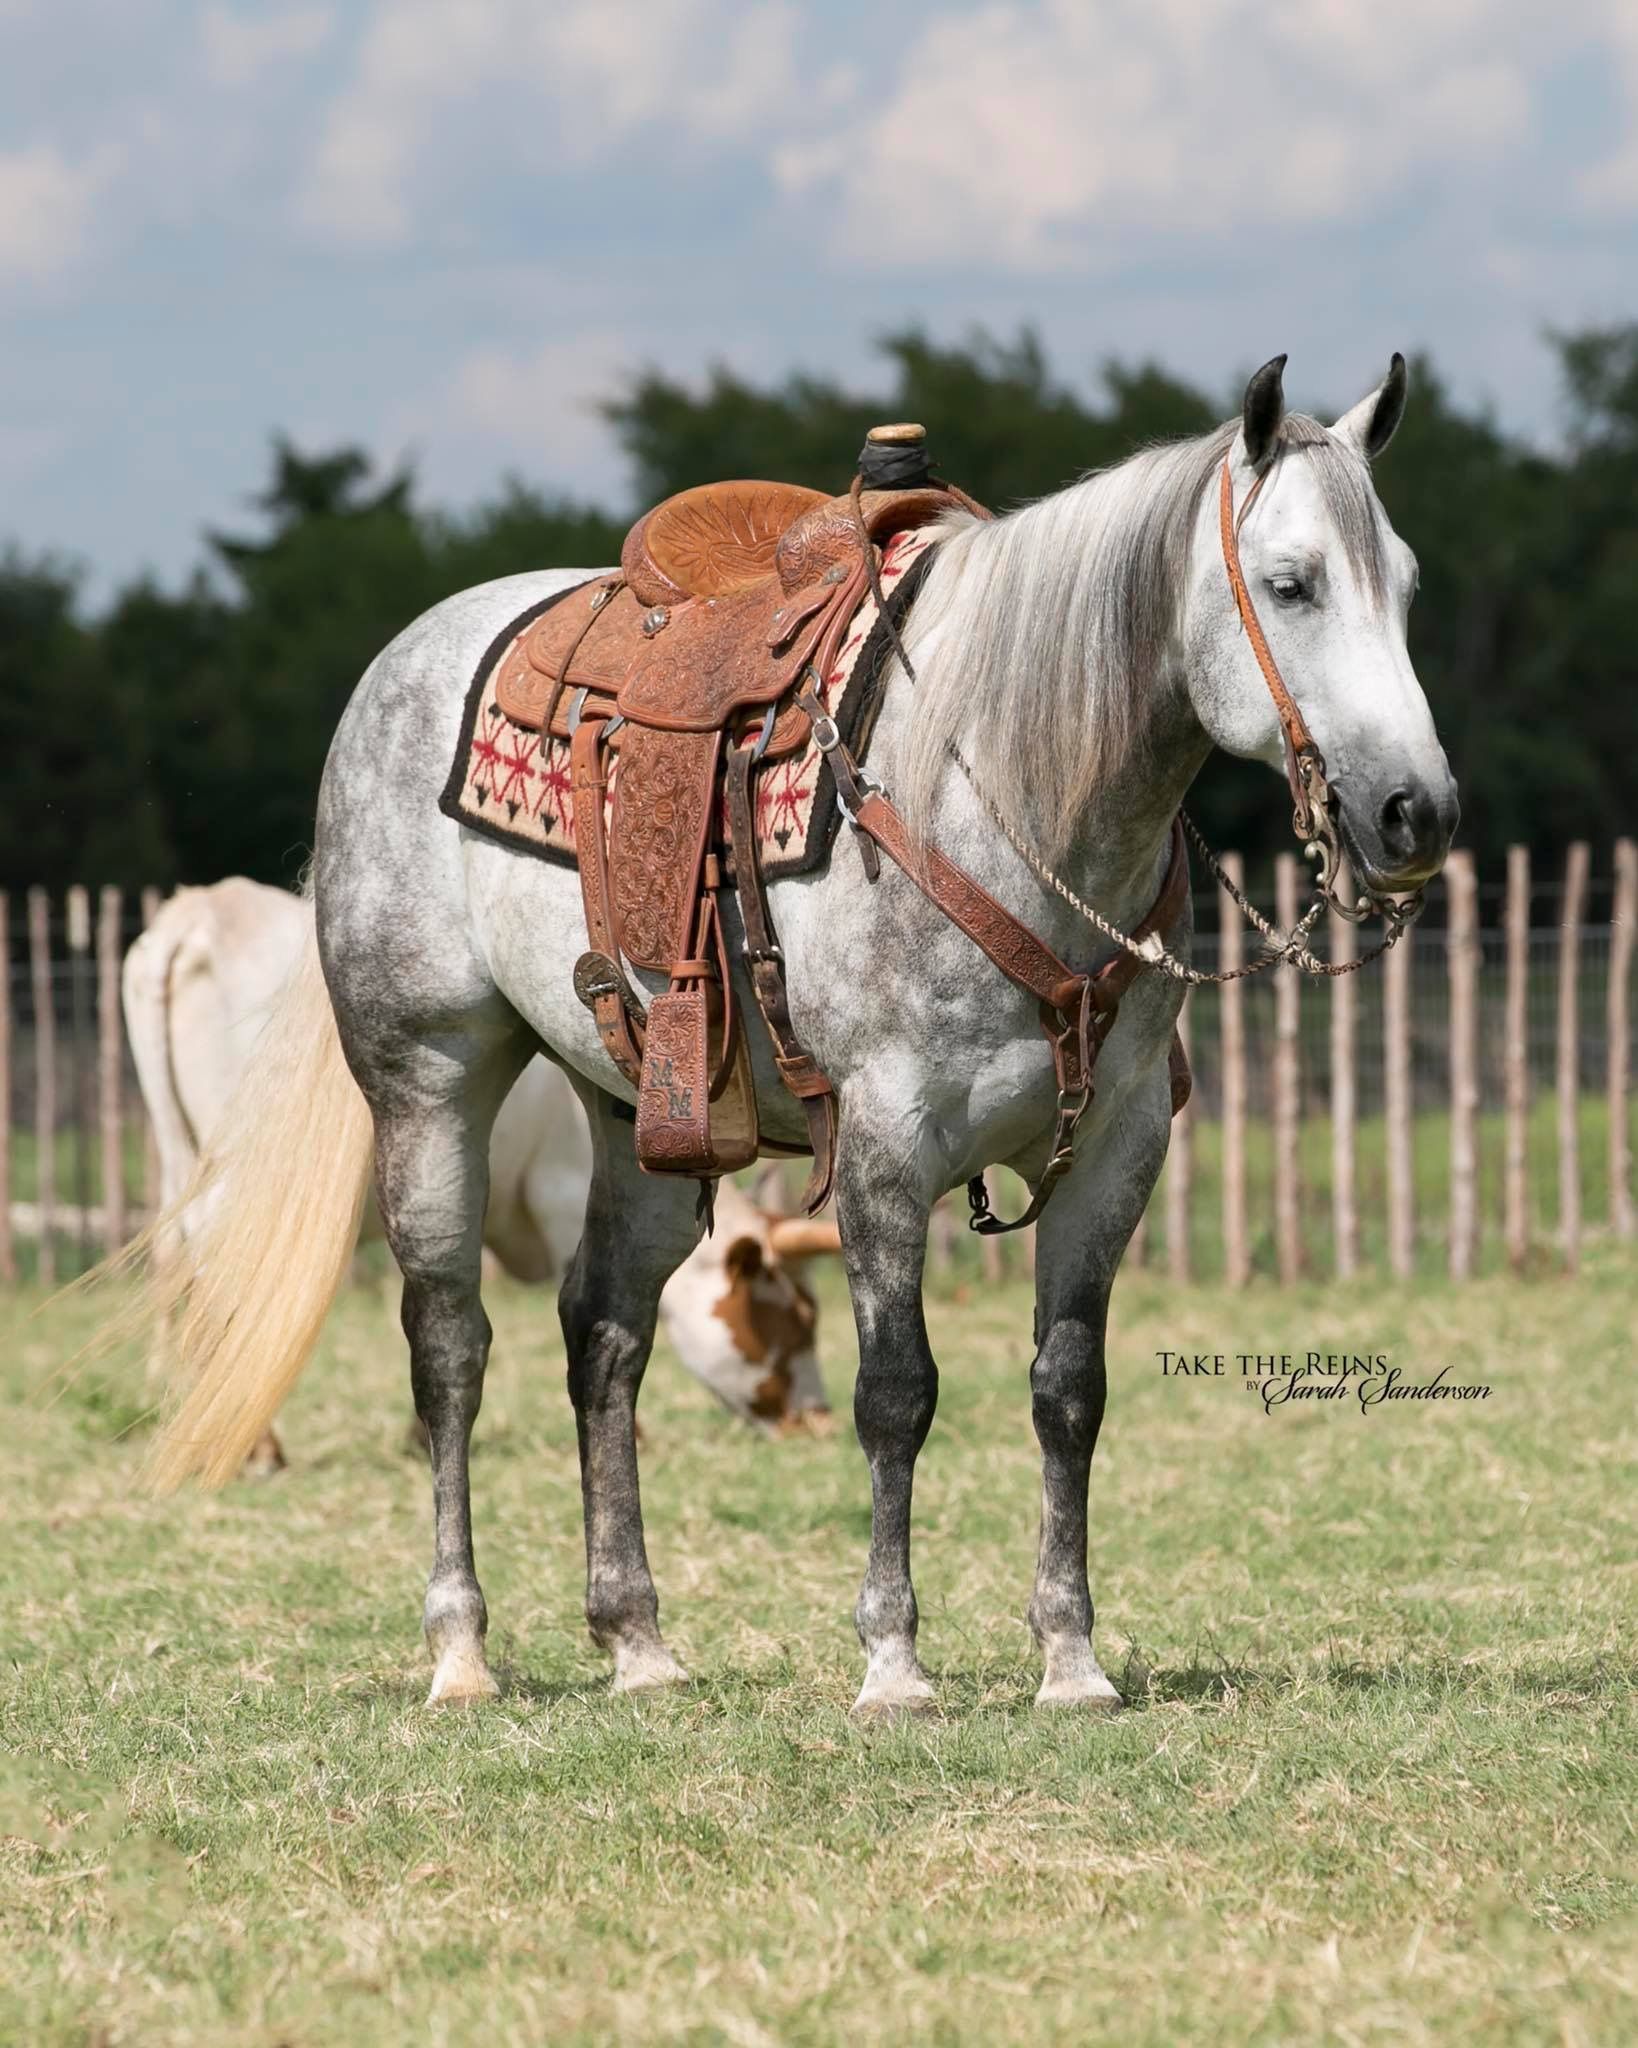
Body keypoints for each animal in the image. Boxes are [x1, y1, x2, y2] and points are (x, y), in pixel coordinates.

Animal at [144, 360, 1457, 1720]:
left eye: (1406, 583)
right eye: (1293, 582)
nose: (1416, 812)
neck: (998, 791)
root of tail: (405, 657)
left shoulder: (1116, 1146)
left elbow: (1068, 1391)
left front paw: (1070, 1657)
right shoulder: (883, 1141)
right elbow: (899, 1393)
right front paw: (893, 1662)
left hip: (647, 1118)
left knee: (603, 1333)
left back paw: (637, 1638)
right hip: (427, 1083)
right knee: (450, 1345)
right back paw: (461, 1650)